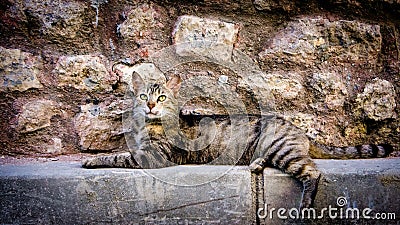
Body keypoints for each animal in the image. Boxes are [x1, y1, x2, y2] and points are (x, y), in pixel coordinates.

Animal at [83, 71, 392, 209]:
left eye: (161, 98)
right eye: (143, 96)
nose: (149, 106)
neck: (148, 126)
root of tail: (300, 130)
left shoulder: (151, 156)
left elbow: (116, 155)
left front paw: (92, 159)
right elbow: (121, 150)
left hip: (282, 150)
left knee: (312, 172)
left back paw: (305, 203)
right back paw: (256, 165)